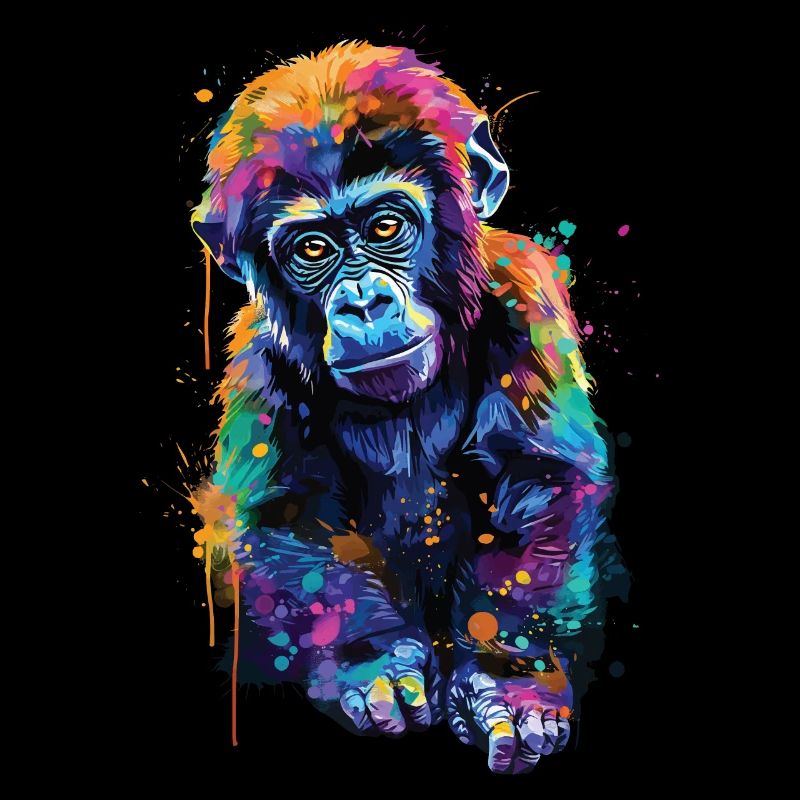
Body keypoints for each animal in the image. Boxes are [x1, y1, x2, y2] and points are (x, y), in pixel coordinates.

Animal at [188, 41, 626, 774]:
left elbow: (537, 480)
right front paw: (375, 662)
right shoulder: (257, 360)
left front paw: (508, 680)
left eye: (386, 226)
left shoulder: (526, 296)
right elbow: (287, 513)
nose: (364, 302)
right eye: (313, 248)